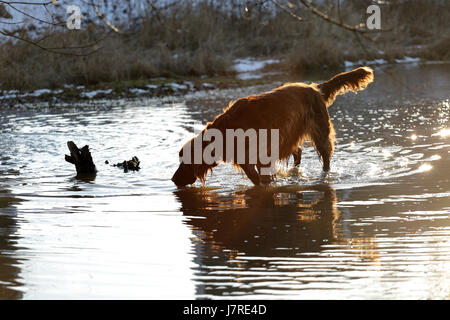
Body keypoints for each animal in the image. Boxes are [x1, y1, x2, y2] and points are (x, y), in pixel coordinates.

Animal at [171, 67, 374, 188]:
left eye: (185, 161)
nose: (173, 179)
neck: (227, 131)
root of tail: (315, 88)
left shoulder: (261, 157)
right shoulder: (248, 160)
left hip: (320, 133)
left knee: (325, 158)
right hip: (289, 136)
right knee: (298, 151)